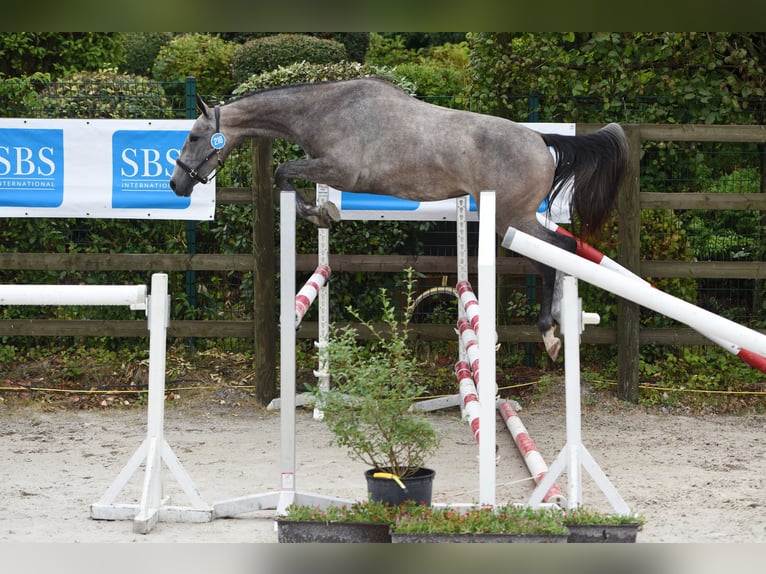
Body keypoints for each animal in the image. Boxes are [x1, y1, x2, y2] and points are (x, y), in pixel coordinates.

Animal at [170, 77, 632, 360]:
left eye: (193, 136)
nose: (177, 184)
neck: (324, 110)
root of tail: (541, 140)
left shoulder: (339, 170)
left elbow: (284, 173)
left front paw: (322, 215)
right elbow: (287, 176)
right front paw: (324, 213)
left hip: (510, 219)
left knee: (558, 253)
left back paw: (549, 333)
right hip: (514, 221)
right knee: (561, 252)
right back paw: (557, 326)